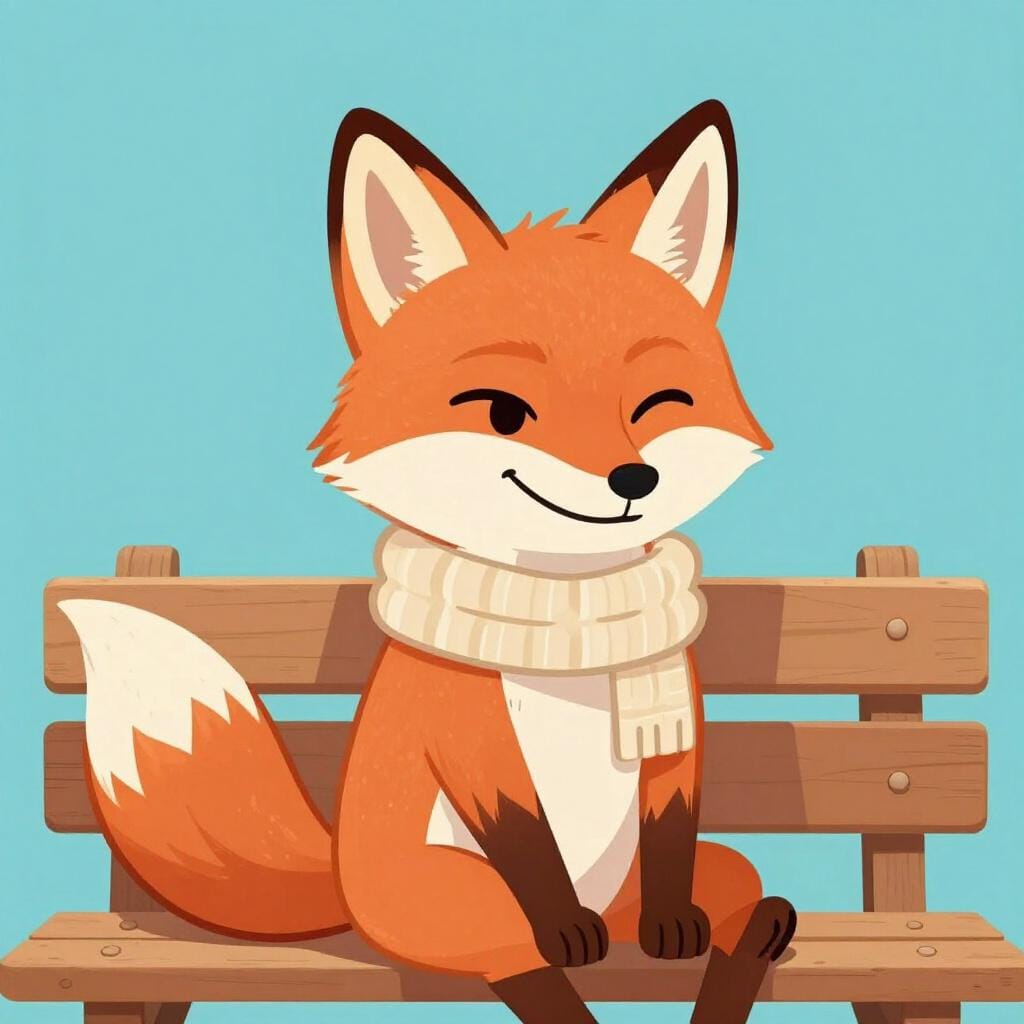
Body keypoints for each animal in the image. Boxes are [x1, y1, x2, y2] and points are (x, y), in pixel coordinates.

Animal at [59, 100, 796, 1024]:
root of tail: (340, 882)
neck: (565, 605)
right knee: (527, 967)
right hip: (458, 904)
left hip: (703, 874)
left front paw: (675, 921)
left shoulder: (678, 717)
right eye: (505, 412)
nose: (634, 480)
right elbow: (521, 831)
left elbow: (675, 810)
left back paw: (745, 927)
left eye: (660, 405)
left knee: (740, 901)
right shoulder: (461, 726)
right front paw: (564, 923)